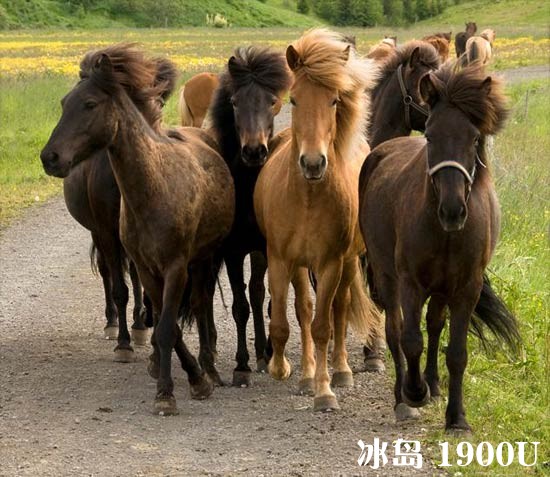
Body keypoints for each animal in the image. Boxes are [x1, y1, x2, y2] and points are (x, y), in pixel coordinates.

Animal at [40, 46, 235, 414]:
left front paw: (182, 386)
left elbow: (168, 325)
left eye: (89, 104)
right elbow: (160, 319)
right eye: (63, 102)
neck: (153, 188)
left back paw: (211, 367)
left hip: (204, 258)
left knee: (202, 303)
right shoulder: (143, 265)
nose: (50, 157)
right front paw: (172, 377)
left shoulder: (175, 267)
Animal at [208, 46, 294, 384]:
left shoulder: (264, 249)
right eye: (234, 102)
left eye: (272, 101)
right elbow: (240, 305)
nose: (254, 151)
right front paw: (241, 365)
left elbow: (264, 296)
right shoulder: (233, 252)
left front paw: (265, 353)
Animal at [256, 28, 382, 412]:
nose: (313, 163)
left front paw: (325, 391)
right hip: (301, 265)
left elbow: (324, 326)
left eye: (334, 101)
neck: (308, 200)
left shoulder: (329, 263)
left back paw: (340, 371)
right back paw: (308, 372)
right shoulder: (281, 260)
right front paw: (285, 369)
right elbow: (287, 320)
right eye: (294, 100)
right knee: (304, 309)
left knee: (338, 310)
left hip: (349, 262)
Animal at [360, 64, 520, 432]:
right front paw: (413, 392)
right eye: (431, 136)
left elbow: (456, 352)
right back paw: (403, 396)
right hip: (389, 278)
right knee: (394, 331)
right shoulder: (410, 283)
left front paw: (457, 417)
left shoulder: (466, 288)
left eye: (474, 138)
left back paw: (432, 384)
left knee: (434, 324)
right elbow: (410, 339)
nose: (452, 209)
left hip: (442, 287)